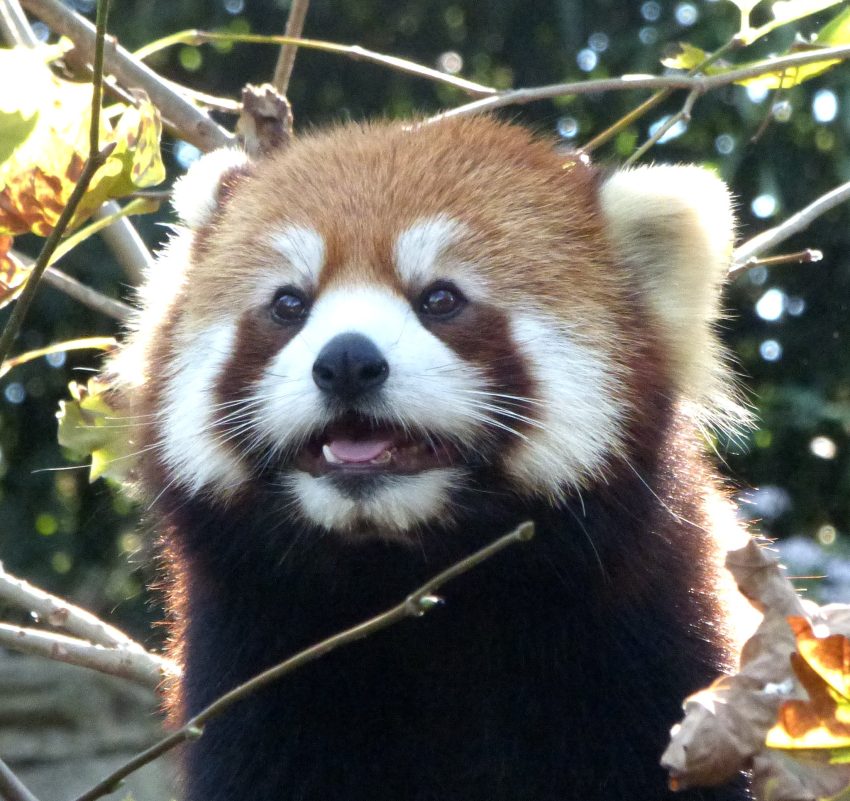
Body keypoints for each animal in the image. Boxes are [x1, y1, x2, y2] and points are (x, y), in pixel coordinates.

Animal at [106, 114, 748, 800]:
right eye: (289, 304)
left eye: (440, 299)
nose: (347, 362)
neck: (408, 585)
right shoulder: (250, 668)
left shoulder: (663, 643)